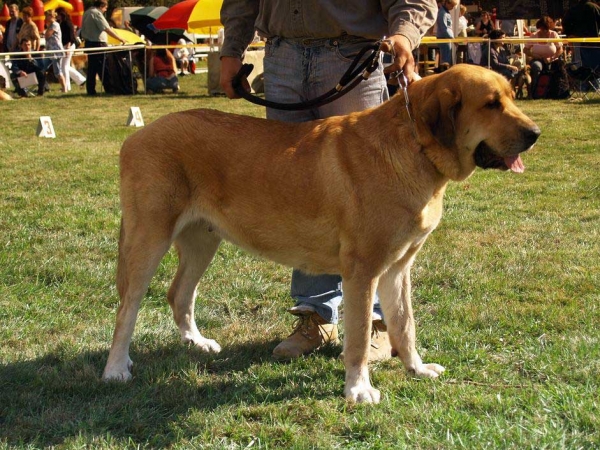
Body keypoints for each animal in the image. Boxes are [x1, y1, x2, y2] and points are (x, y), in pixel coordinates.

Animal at [104, 64, 544, 404]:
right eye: (491, 104)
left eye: (510, 96)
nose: (535, 134)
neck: (415, 145)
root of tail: (135, 137)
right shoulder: (362, 271)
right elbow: (358, 339)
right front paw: (359, 390)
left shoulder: (398, 269)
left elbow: (405, 325)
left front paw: (416, 369)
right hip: (149, 239)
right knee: (128, 308)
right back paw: (116, 368)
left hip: (202, 241)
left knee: (179, 293)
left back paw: (195, 342)